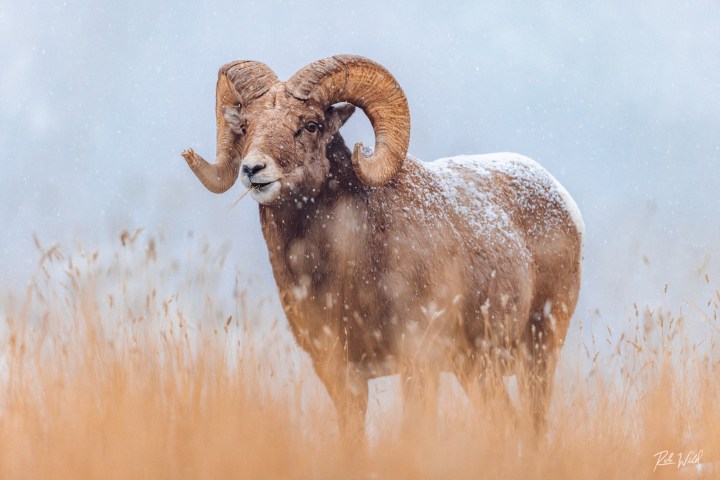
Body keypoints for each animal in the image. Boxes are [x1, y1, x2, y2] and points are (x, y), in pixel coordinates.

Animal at [182, 55, 583, 438]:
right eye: (245, 126)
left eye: (310, 125)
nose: (253, 170)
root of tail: (565, 204)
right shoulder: (341, 375)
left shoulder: (418, 365)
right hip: (477, 369)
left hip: (538, 354)